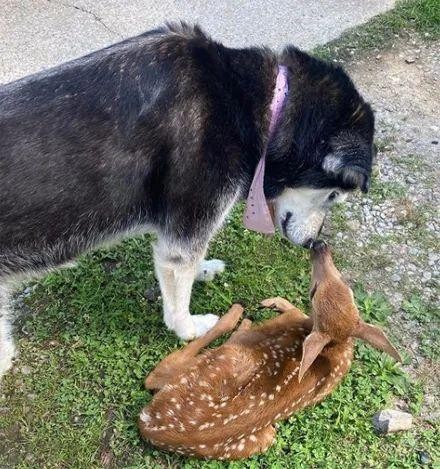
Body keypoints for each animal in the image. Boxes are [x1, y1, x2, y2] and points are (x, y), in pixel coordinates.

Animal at [0, 23, 374, 378]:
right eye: (333, 195)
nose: (315, 242)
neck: (257, 103)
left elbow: (194, 263)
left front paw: (203, 269)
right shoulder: (184, 238)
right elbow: (179, 296)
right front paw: (190, 329)